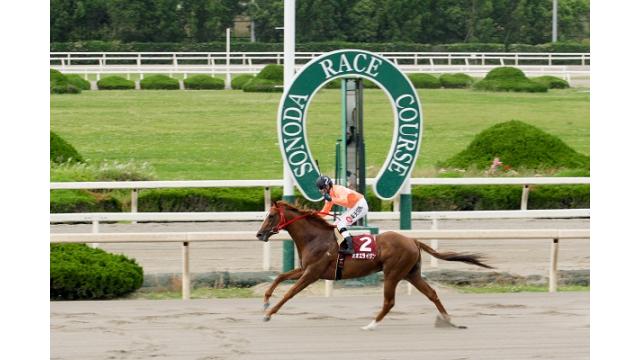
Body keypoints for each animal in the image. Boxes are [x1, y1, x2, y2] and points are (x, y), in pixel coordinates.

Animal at [252, 201, 492, 330]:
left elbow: (289, 292)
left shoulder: (312, 273)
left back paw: (371, 324)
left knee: (389, 302)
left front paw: (268, 314)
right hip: (411, 273)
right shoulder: (305, 269)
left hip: (393, 272)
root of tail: (413, 240)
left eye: (271, 216)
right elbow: (279, 277)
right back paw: (450, 321)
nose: (259, 234)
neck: (315, 238)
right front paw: (265, 302)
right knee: (432, 293)